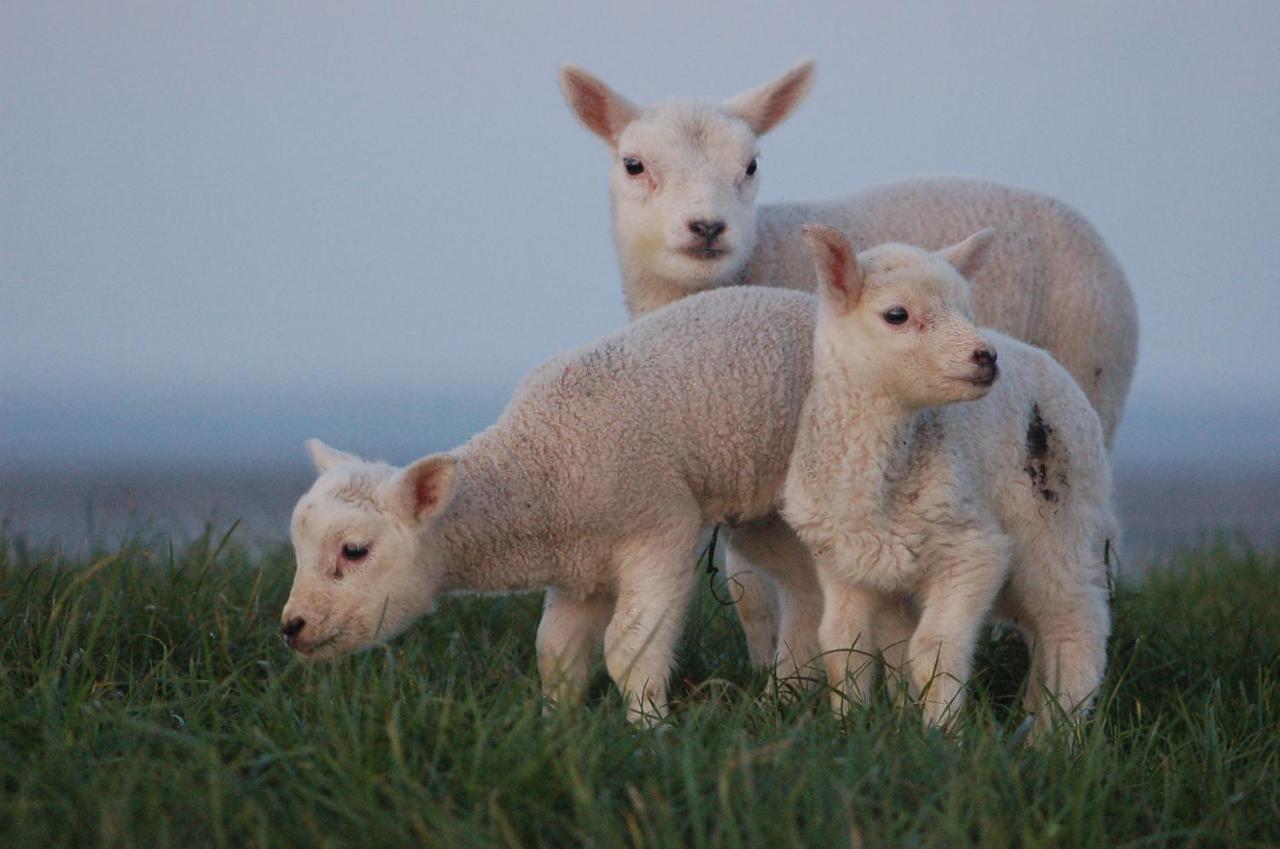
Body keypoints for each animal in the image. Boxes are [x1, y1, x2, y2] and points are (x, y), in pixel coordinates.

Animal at [279, 285, 819, 722]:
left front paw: (650, 729)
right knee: (804, 586)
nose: (290, 627)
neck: (541, 467)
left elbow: (628, 646)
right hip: (765, 517)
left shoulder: (660, 526)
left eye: (354, 551)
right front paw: (555, 727)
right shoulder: (581, 568)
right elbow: (554, 653)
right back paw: (785, 696)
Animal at [560, 59, 1141, 671]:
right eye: (634, 164)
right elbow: (750, 591)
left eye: (751, 165)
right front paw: (767, 666)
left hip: (1092, 382)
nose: (708, 227)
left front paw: (794, 676)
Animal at [778, 225, 1111, 737]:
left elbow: (934, 648)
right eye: (896, 315)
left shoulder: (973, 551)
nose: (986, 357)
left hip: (1058, 515)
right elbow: (843, 644)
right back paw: (1034, 718)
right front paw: (852, 726)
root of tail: (1048, 361)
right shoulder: (842, 562)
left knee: (1075, 621)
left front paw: (941, 734)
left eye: (968, 311)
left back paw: (1058, 736)